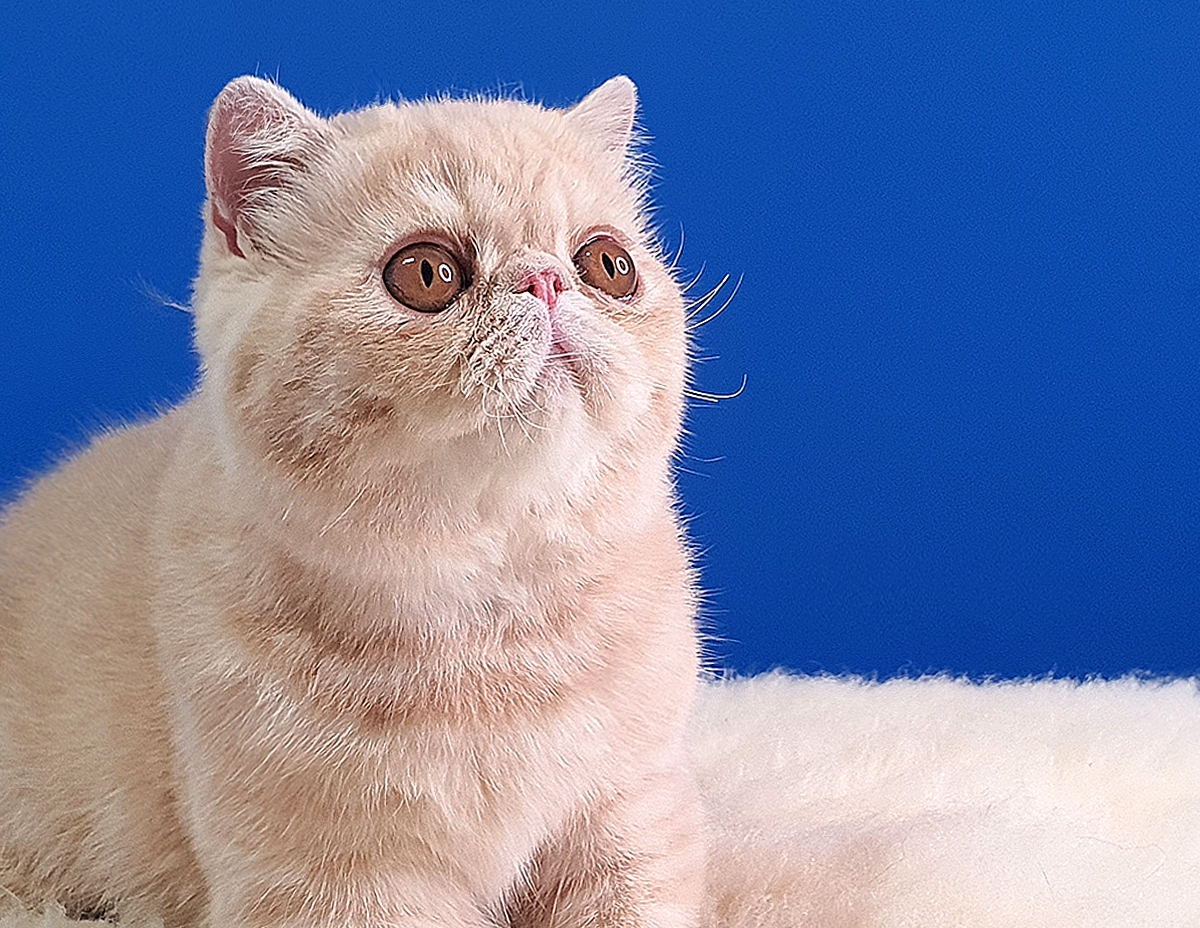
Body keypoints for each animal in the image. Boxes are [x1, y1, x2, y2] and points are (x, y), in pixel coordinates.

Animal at [0, 74, 705, 926]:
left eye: (608, 263)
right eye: (427, 273)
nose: (546, 280)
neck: (490, 611)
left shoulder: (631, 810)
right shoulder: (335, 882)